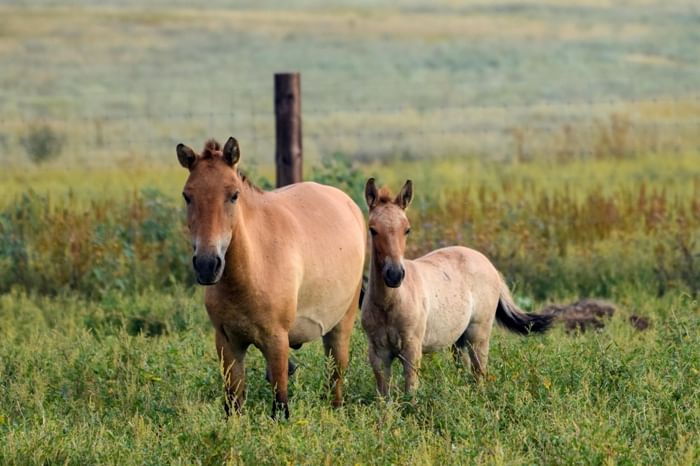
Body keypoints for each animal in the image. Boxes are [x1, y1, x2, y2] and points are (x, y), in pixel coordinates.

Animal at [176, 137, 366, 416]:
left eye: (234, 195)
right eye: (187, 196)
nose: (207, 265)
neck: (251, 270)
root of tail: (348, 203)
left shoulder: (277, 342)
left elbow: (280, 406)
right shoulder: (227, 343)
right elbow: (233, 405)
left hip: (341, 326)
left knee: (336, 379)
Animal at [360, 178, 552, 396]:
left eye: (407, 229)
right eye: (373, 229)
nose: (394, 275)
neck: (390, 303)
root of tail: (488, 264)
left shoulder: (412, 350)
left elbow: (411, 390)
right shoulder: (378, 354)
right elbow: (384, 396)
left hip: (478, 335)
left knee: (479, 373)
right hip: (458, 340)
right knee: (464, 369)